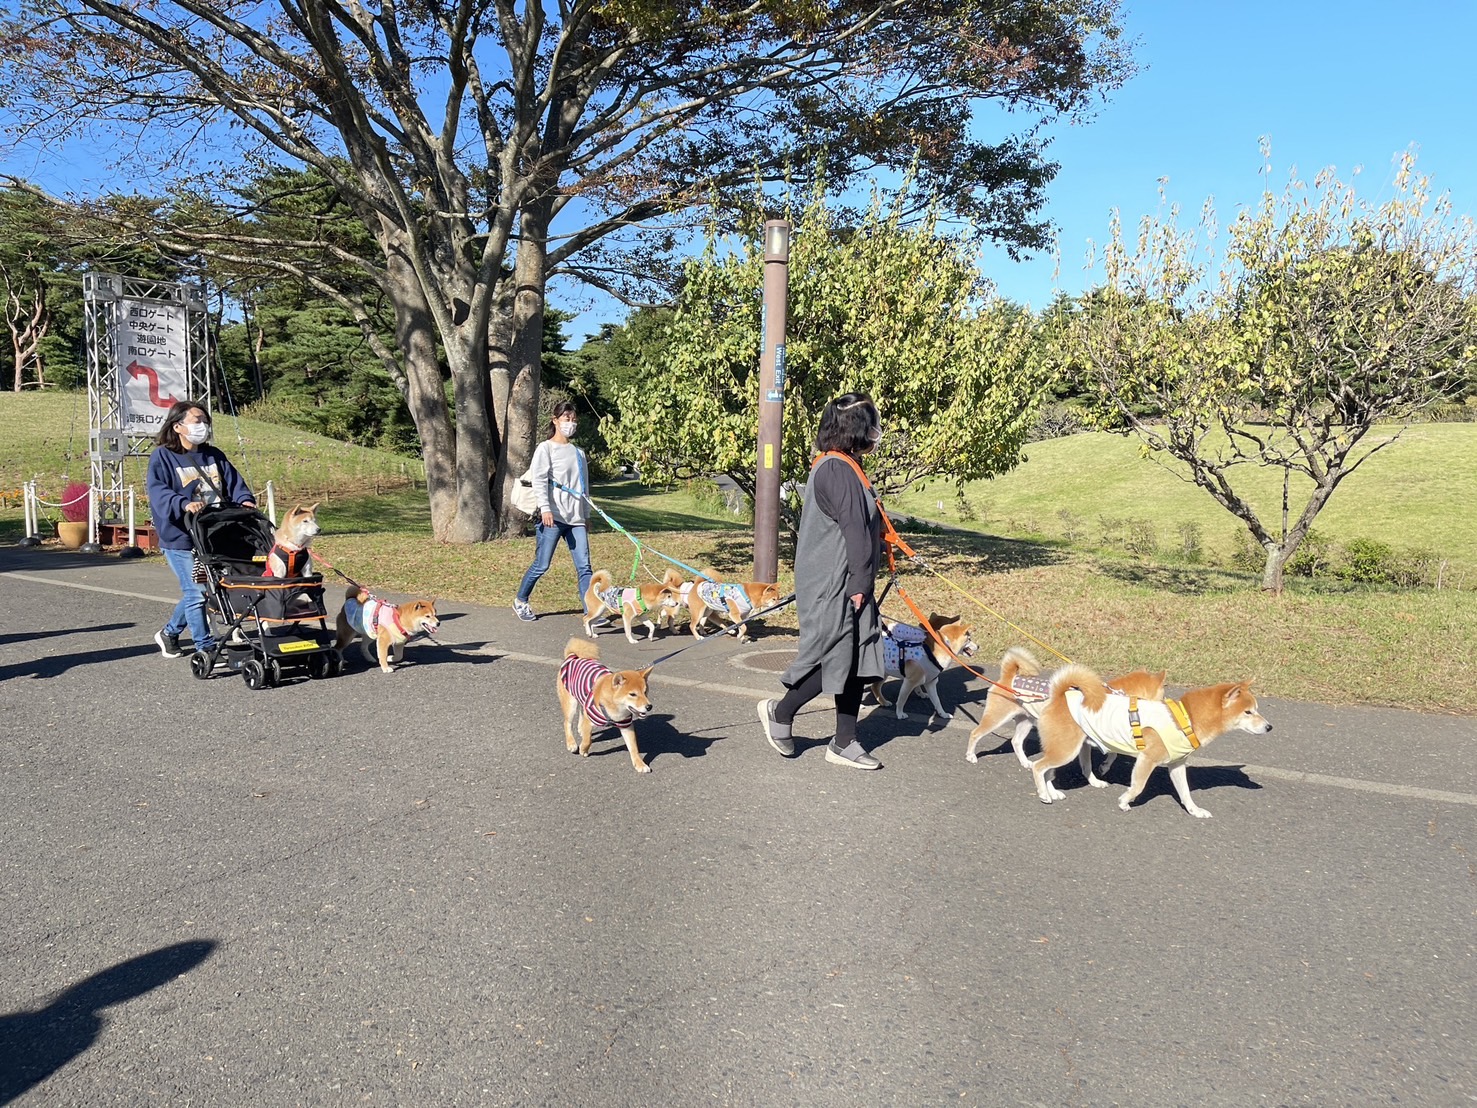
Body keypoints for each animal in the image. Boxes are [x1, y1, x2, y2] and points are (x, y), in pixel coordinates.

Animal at [182, 508, 342, 691]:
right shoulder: (279, 574)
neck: (295, 548)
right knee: (221, 622)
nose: (319, 529)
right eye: (305, 521)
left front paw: (328, 659)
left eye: (315, 520)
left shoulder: (307, 573)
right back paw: (210, 653)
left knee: (258, 624)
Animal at [555, 638, 655, 774]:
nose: (649, 707)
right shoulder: (590, 717)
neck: (615, 710)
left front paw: (640, 764)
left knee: (581, 713)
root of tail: (574, 657)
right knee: (567, 723)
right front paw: (583, 749)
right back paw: (571, 743)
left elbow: (633, 748)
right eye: (633, 694)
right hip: (570, 704)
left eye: (645, 692)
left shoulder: (626, 726)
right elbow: (588, 739)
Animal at [968, 647, 1163, 785]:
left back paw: (1025, 762)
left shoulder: (1087, 742)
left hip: (1026, 721)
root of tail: (1009, 676)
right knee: (975, 733)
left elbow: (1093, 763)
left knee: (1016, 741)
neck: (1116, 695)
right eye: (1162, 696)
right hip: (996, 717)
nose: (1165, 705)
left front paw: (1098, 776)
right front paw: (1103, 768)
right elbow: (1111, 755)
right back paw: (971, 756)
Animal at [1027, 664, 1270, 821]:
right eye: (1248, 712)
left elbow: (1185, 793)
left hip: (1065, 748)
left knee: (1047, 770)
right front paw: (1125, 801)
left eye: (1257, 709)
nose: (1269, 727)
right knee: (1039, 767)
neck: (1186, 719)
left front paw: (1195, 811)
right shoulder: (1147, 759)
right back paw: (1044, 794)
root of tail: (1059, 696)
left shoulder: (1177, 765)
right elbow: (1138, 786)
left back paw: (1052, 792)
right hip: (1066, 749)